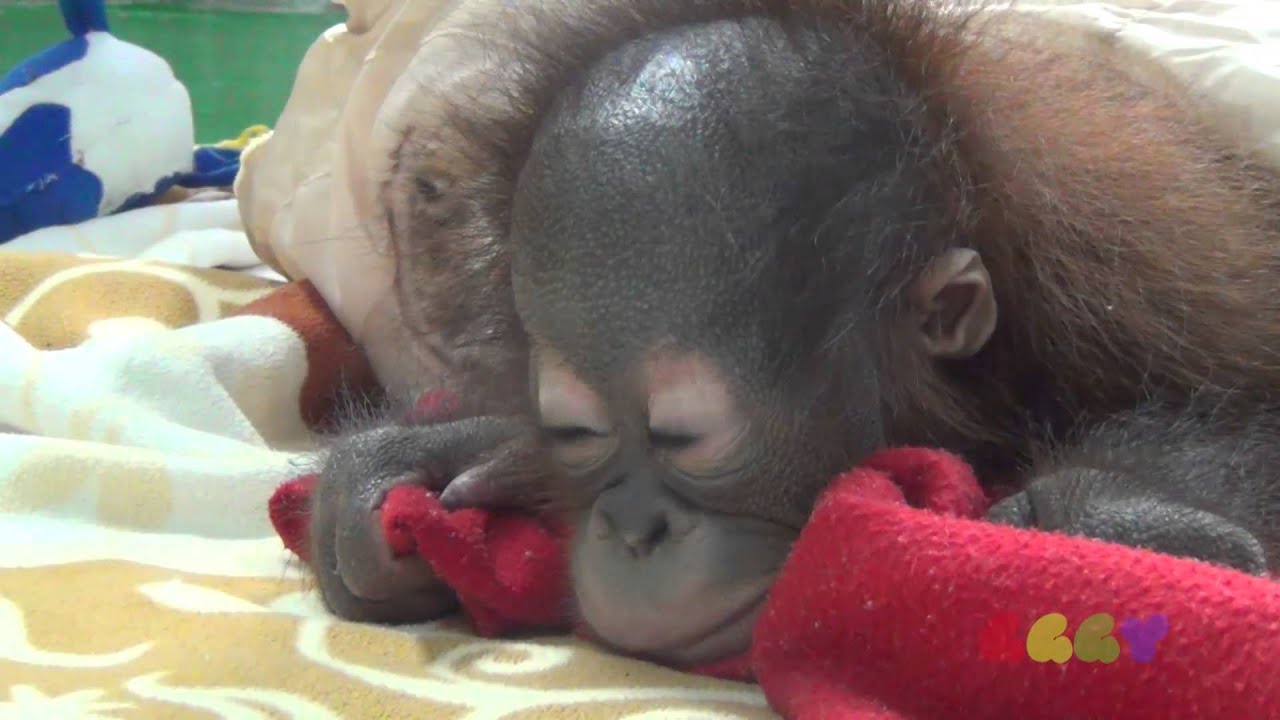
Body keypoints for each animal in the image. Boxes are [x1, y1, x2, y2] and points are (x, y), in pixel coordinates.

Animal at [305, 0, 1280, 668]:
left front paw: (1093, 516)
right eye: (578, 431)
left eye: (687, 439)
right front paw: (440, 457)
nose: (629, 529)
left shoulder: (1146, 265)